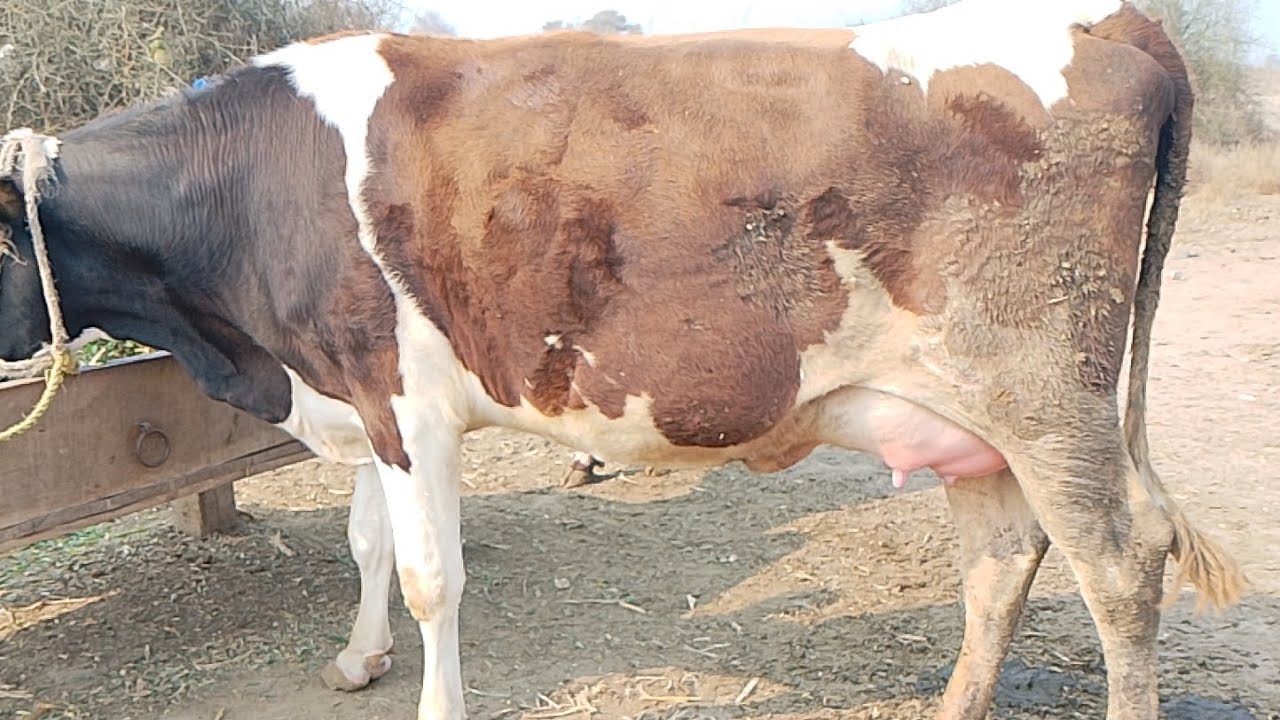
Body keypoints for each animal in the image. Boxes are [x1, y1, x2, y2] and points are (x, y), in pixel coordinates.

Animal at [0, 1, 1248, 718]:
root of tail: (1111, 23)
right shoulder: (356, 384)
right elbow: (367, 546)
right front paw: (358, 661)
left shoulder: (409, 399)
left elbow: (432, 576)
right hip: (968, 412)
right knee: (1000, 558)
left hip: (1042, 389)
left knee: (1118, 561)